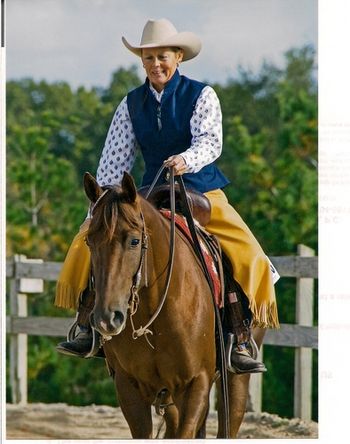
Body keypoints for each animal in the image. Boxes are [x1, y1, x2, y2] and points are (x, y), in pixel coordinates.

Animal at [83, 172, 266, 438]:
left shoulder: (195, 385)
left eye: (134, 241)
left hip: (235, 380)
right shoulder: (129, 387)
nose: (107, 318)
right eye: (89, 241)